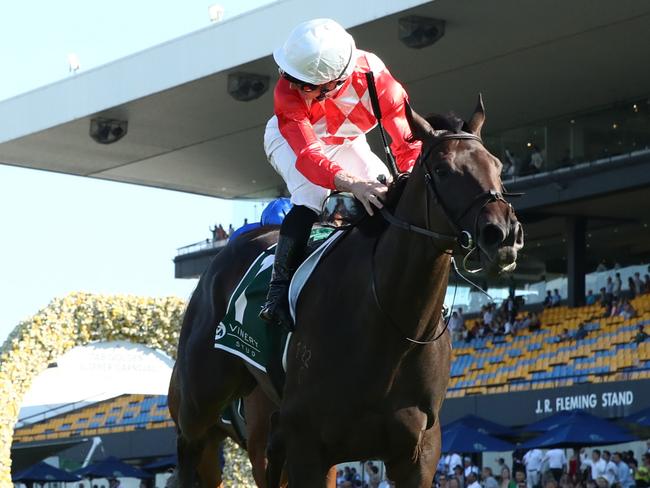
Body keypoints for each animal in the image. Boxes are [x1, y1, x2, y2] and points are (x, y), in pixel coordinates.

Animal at [167, 97, 520, 486]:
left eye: (497, 166)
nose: (503, 233)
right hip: (201, 406)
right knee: (188, 450)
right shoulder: (307, 446)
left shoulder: (417, 453)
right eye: (442, 170)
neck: (389, 326)